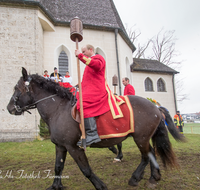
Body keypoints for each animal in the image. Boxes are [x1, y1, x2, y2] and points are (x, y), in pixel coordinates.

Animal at [7, 68, 183, 189]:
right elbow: (58, 167)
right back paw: (154, 177)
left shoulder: (73, 147)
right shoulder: (61, 146)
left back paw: (135, 178)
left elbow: (86, 169)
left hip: (141, 138)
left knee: (147, 156)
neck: (58, 109)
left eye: (16, 88)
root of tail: (155, 107)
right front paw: (55, 186)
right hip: (144, 138)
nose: (9, 108)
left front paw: (100, 185)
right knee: (152, 153)